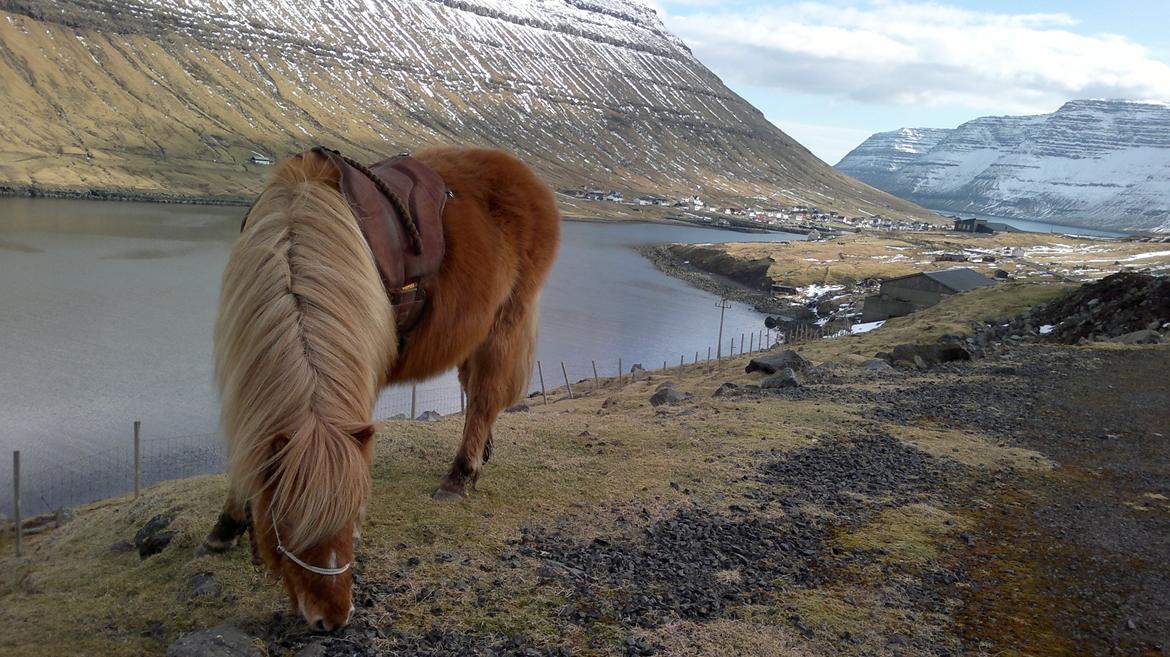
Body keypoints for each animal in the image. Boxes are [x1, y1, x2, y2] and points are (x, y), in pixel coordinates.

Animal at [198, 144, 559, 631]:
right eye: (286, 522)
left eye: (356, 515)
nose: (333, 619)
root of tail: (525, 176)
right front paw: (225, 526)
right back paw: (482, 456)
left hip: (505, 322)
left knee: (485, 396)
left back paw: (459, 477)